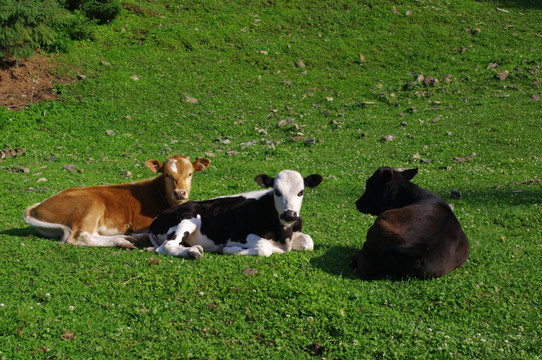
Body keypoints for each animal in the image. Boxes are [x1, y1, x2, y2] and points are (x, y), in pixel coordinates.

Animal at [23, 156, 210, 249]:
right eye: (167, 174)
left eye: (190, 174)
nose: (180, 192)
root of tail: (37, 208)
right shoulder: (141, 222)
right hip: (91, 204)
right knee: (81, 236)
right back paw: (121, 241)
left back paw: (126, 237)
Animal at [149, 170, 324, 258]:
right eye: (277, 191)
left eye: (301, 192)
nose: (289, 214)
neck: (284, 235)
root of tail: (156, 219)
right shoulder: (239, 236)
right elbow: (264, 249)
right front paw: (229, 250)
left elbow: (309, 242)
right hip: (188, 218)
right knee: (168, 246)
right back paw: (193, 252)